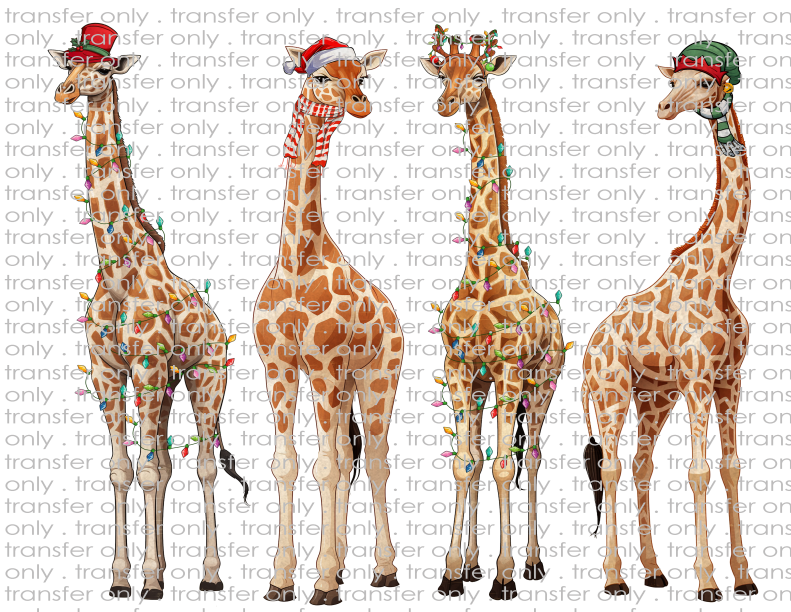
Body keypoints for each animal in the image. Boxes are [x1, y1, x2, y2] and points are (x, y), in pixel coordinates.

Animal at [49, 23, 248, 601]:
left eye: (103, 68)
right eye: (67, 65)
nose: (66, 93)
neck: (118, 271)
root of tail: (218, 323)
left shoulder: (149, 367)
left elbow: (150, 471)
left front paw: (152, 580)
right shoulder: (111, 371)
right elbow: (125, 469)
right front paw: (123, 579)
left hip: (204, 377)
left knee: (201, 465)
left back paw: (209, 575)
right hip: (167, 384)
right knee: (162, 461)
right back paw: (158, 572)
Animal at [253, 38, 403, 606]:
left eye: (362, 74)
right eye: (320, 78)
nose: (359, 102)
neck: (298, 261)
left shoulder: (322, 365)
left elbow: (326, 467)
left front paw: (318, 581)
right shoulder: (280, 367)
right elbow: (291, 464)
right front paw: (281, 579)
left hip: (375, 377)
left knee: (375, 462)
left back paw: (383, 569)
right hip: (343, 386)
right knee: (343, 454)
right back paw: (341, 566)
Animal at [420, 25, 568, 601]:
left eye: (479, 77)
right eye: (445, 74)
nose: (446, 104)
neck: (483, 261)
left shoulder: (508, 370)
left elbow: (505, 466)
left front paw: (506, 578)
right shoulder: (462, 372)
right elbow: (466, 466)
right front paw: (451, 573)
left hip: (542, 383)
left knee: (533, 457)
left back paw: (531, 563)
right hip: (487, 388)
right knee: (482, 459)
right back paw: (475, 565)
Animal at [580, 41, 759, 603]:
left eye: (703, 83)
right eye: (672, 81)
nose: (662, 108)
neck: (721, 272)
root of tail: (588, 350)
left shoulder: (729, 379)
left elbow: (731, 468)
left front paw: (744, 578)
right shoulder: (699, 377)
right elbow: (699, 471)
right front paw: (707, 582)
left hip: (654, 396)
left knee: (641, 465)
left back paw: (654, 571)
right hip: (613, 390)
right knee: (612, 466)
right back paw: (615, 577)